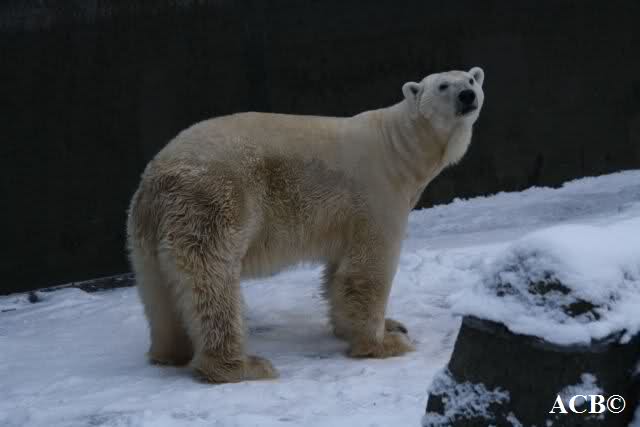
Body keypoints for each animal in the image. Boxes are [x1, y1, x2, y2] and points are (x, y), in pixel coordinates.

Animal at [127, 67, 485, 383]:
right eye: (443, 85)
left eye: (470, 80)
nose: (467, 96)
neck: (398, 146)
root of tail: (156, 176)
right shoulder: (377, 195)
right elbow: (368, 270)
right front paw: (384, 343)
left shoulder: (346, 216)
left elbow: (339, 272)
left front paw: (386, 325)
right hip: (215, 201)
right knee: (212, 283)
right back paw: (243, 366)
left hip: (148, 229)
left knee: (158, 289)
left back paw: (170, 352)